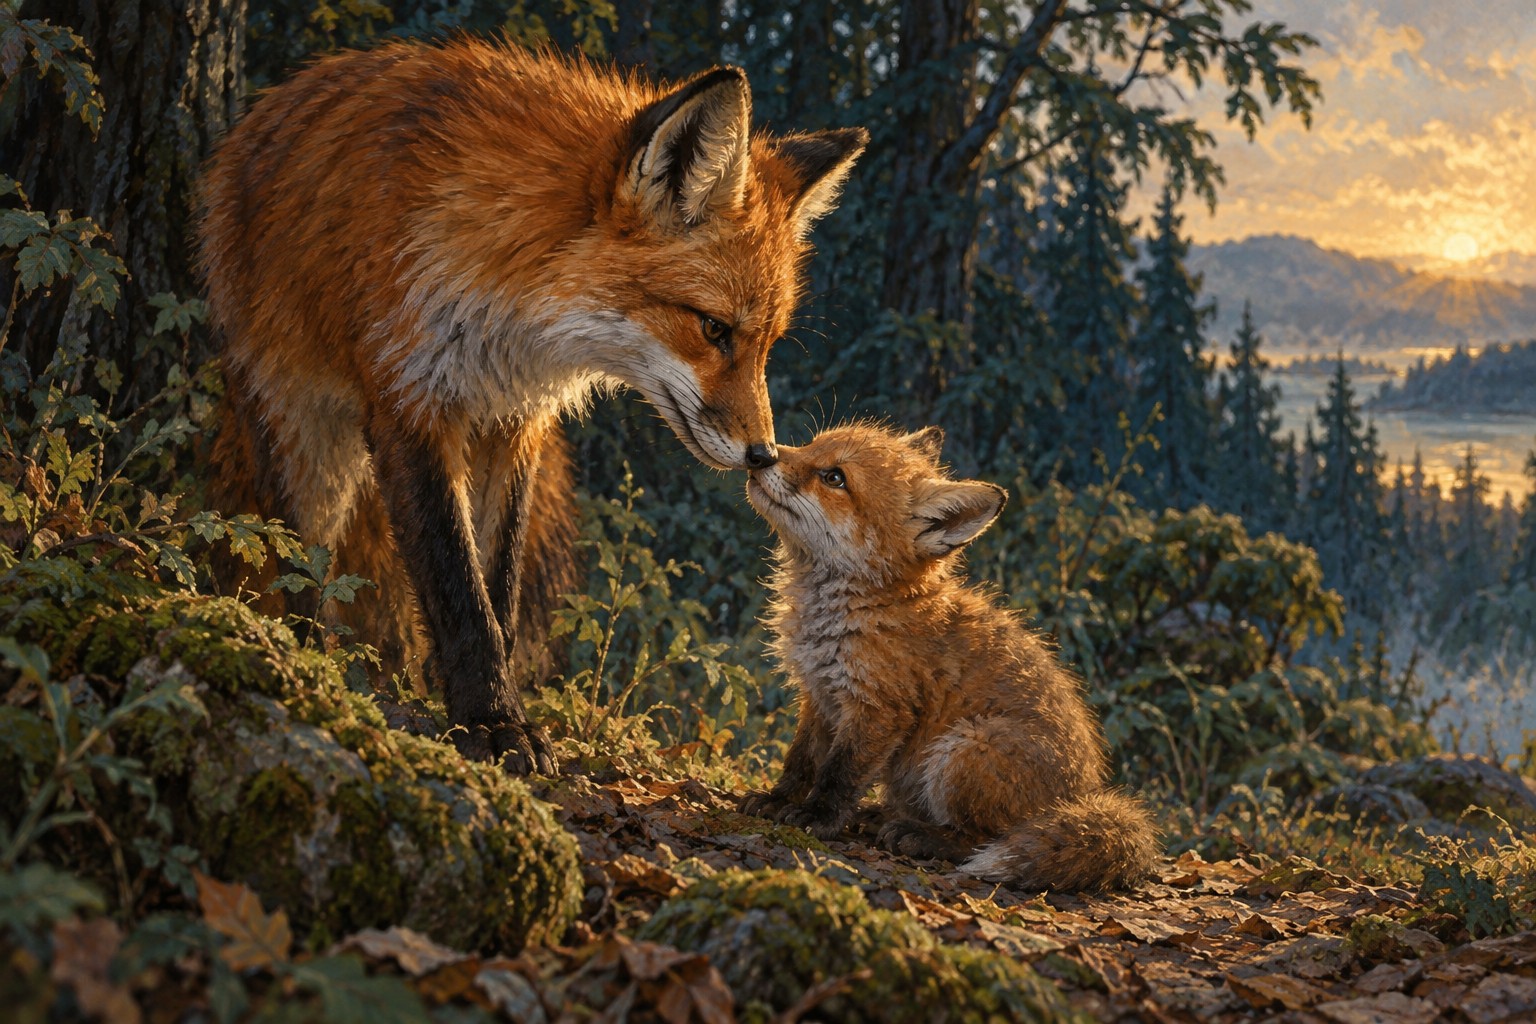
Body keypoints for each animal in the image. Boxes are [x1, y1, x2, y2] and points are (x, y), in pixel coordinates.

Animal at [197, 41, 866, 773]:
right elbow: (457, 588)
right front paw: (491, 722)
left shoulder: (513, 421)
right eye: (714, 329)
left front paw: (502, 703)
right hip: (303, 435)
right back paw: (305, 654)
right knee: (298, 552)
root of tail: (268, 107)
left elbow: (502, 588)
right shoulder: (410, 400)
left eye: (767, 344)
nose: (763, 454)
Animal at [740, 424, 1159, 891]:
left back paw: (922, 836)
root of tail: (1084, 795)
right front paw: (777, 799)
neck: (851, 610)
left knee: (981, 838)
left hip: (966, 748)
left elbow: (839, 773)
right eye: (812, 445)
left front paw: (817, 817)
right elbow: (802, 760)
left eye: (835, 478)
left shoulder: (880, 709)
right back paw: (882, 816)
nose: (760, 455)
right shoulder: (819, 695)